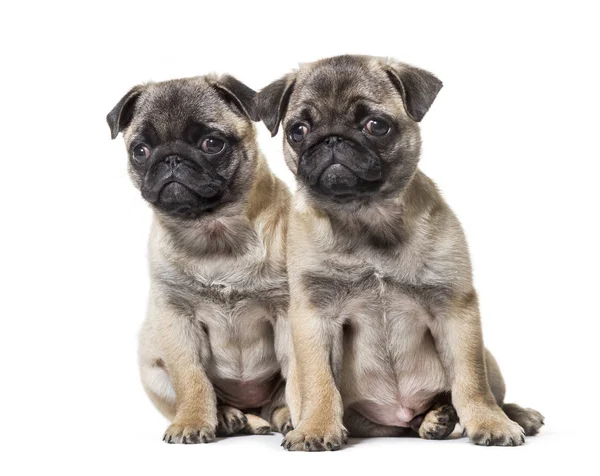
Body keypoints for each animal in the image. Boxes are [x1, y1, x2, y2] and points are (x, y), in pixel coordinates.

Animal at [110, 74, 296, 442]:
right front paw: (194, 422)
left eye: (212, 143)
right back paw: (229, 417)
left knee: (277, 402)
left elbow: (297, 375)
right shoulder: (177, 319)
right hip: (153, 370)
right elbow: (192, 379)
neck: (213, 232)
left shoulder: (284, 312)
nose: (171, 158)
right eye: (140, 151)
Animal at [258, 55, 544, 450]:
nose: (332, 140)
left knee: (486, 389)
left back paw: (509, 415)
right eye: (297, 131)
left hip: (489, 359)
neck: (365, 218)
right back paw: (433, 421)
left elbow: (471, 381)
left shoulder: (456, 311)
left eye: (377, 125)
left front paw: (490, 422)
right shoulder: (313, 316)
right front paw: (316, 426)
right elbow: (319, 382)